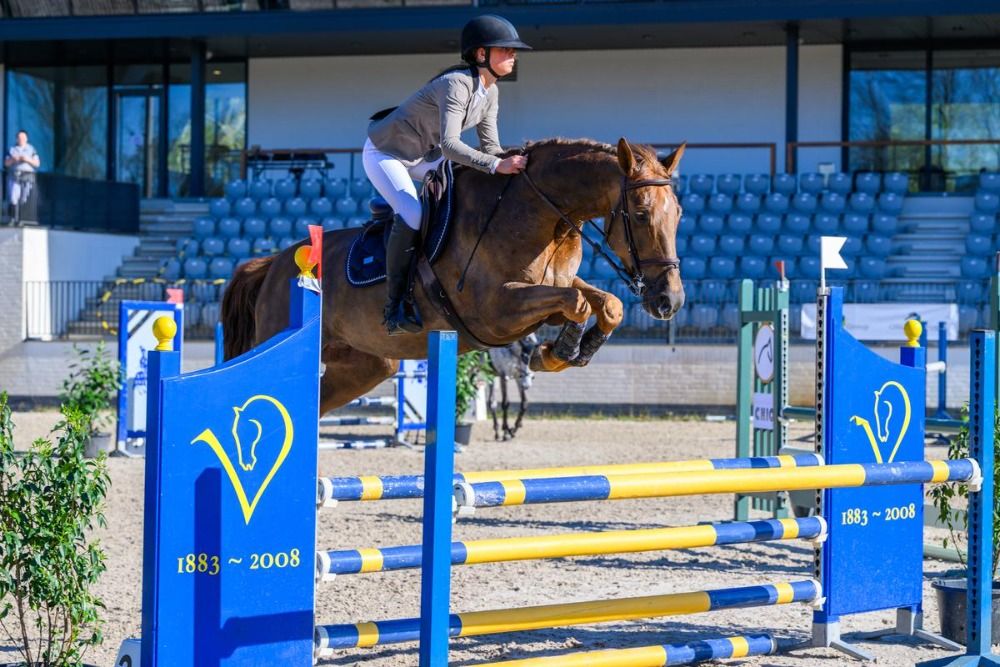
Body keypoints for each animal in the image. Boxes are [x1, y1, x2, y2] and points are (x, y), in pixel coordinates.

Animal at [221, 137, 685, 416]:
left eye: (678, 214)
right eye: (640, 214)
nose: (671, 301)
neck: (542, 215)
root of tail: (272, 264)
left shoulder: (550, 287)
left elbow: (606, 303)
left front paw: (567, 351)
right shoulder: (496, 310)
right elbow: (576, 304)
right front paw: (559, 350)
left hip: (367, 365)